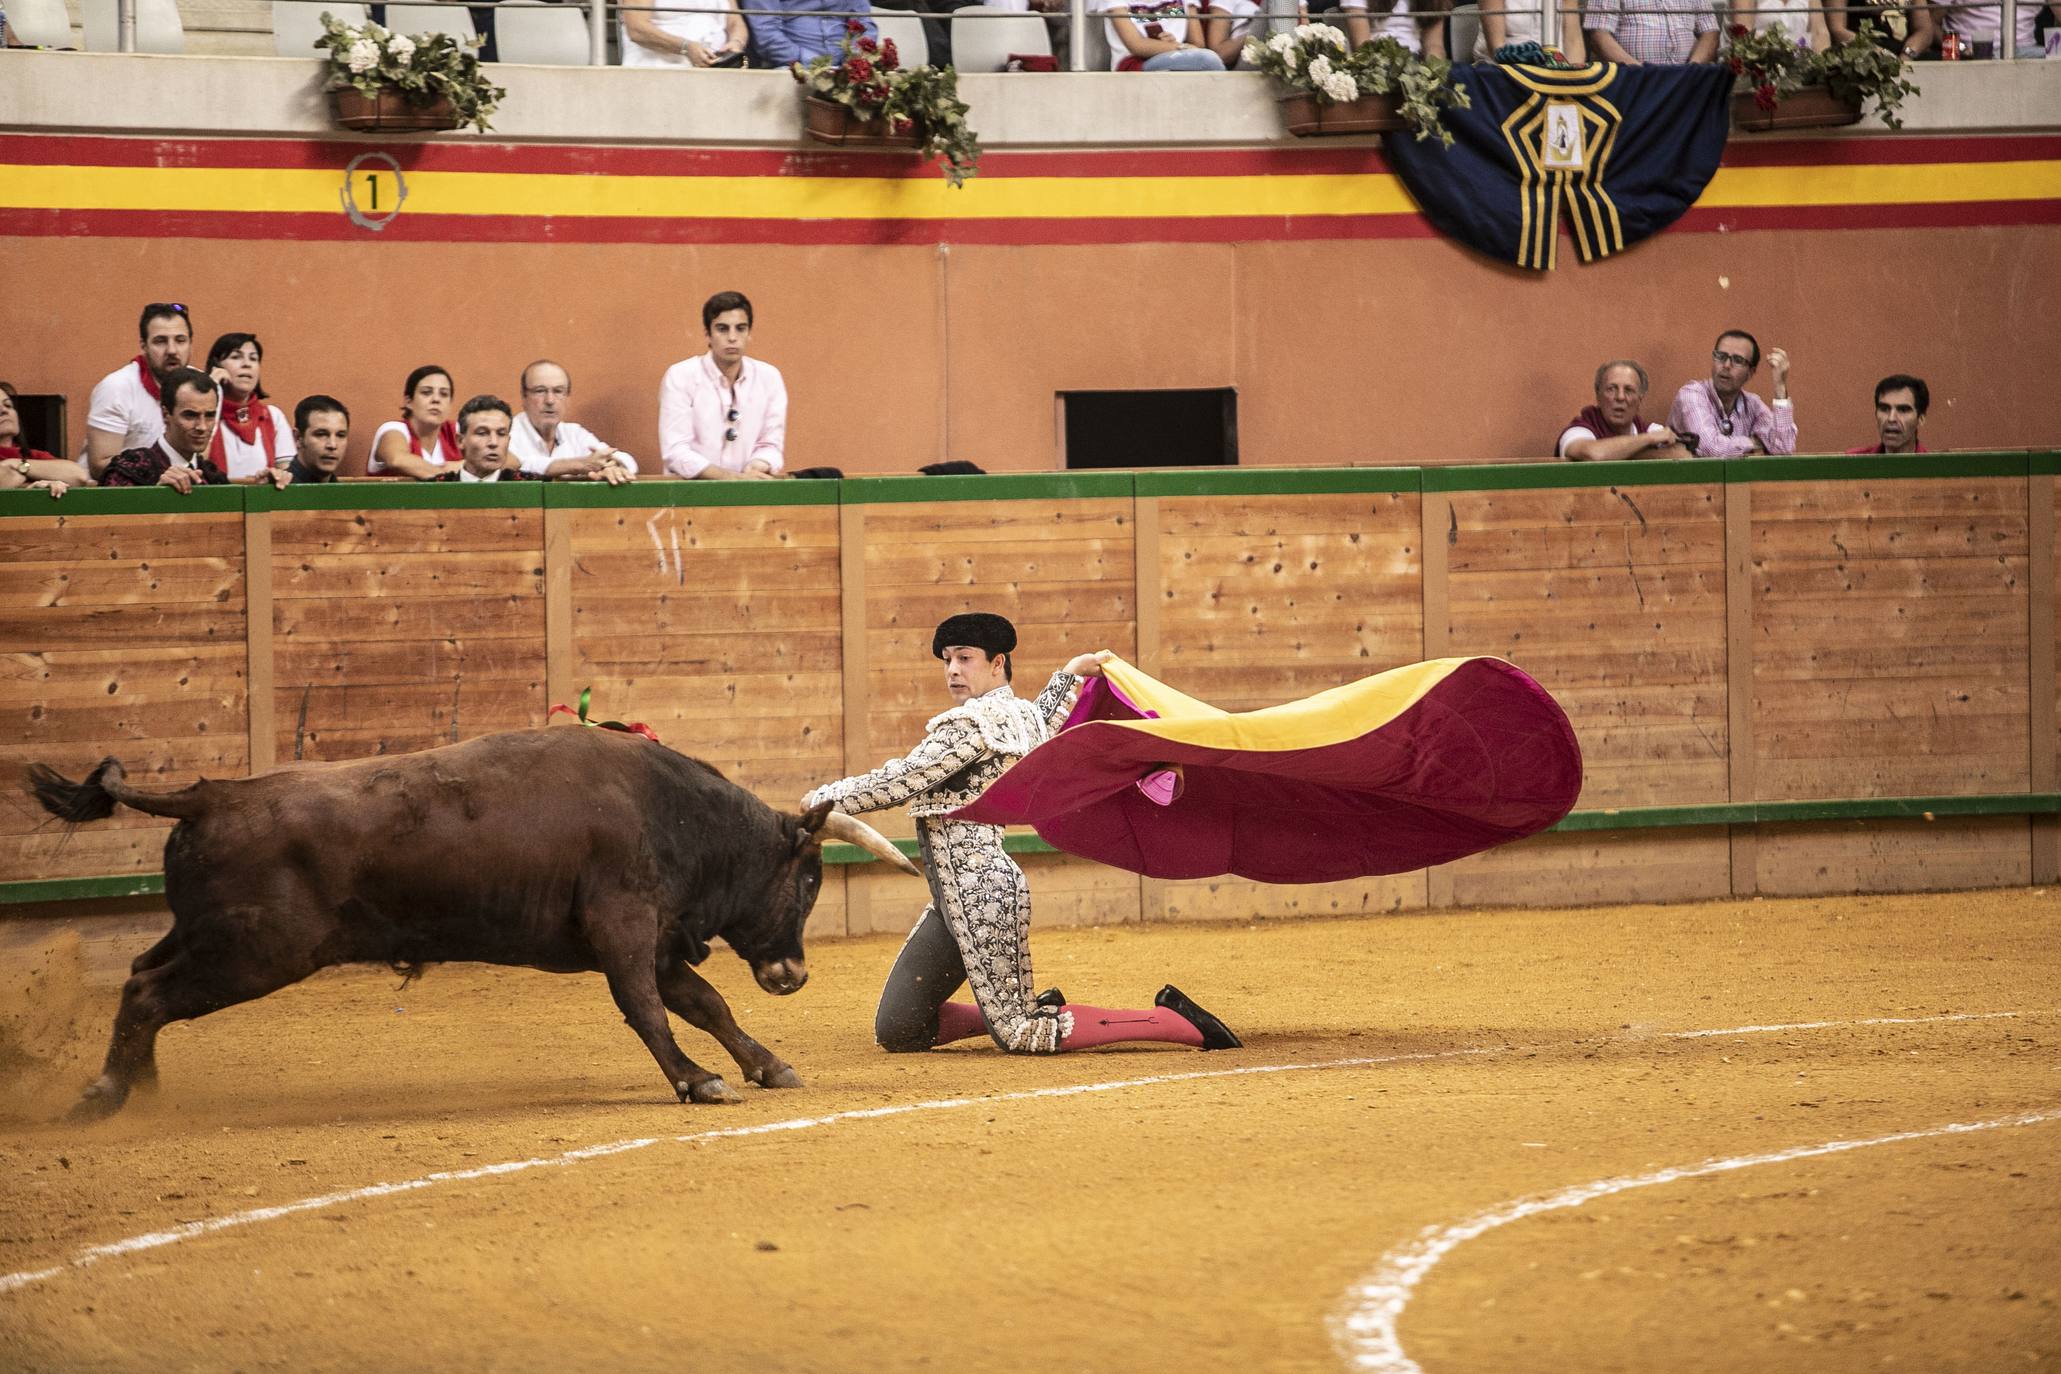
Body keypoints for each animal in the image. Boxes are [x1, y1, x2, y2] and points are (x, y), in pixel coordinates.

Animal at [28, 725, 915, 1120]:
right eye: (808, 879)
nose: (793, 974)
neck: (673, 813)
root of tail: (208, 796)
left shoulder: (654, 938)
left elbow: (706, 1005)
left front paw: (767, 1065)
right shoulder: (626, 930)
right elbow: (651, 1012)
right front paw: (698, 1081)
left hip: (210, 936)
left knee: (140, 978)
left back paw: (140, 1087)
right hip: (255, 951)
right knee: (147, 995)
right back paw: (105, 1095)